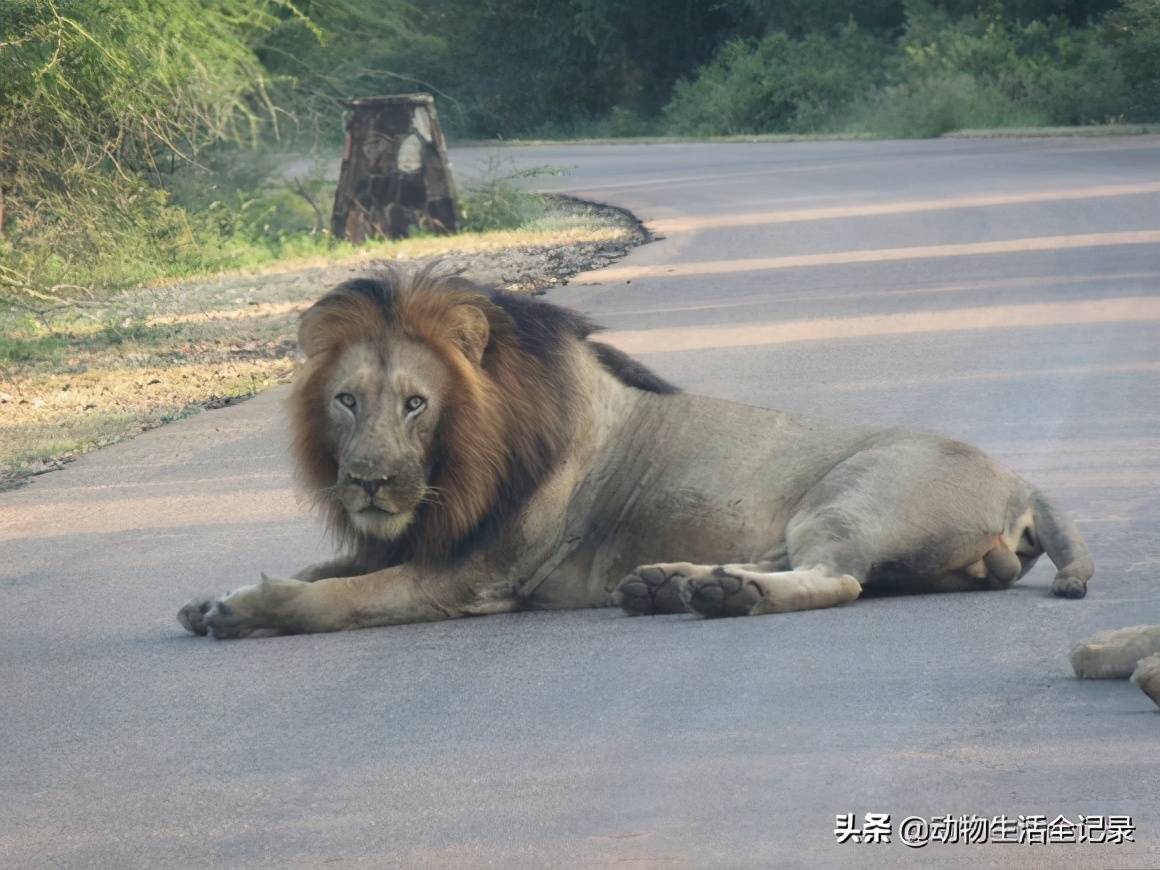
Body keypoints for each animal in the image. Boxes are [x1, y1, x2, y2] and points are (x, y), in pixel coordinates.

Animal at [176, 269, 1090, 644]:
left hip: (853, 495)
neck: (452, 477)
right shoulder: (416, 538)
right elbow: (326, 568)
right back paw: (674, 586)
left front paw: (248, 609)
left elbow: (339, 596)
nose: (367, 482)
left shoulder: (470, 575)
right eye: (345, 401)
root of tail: (1022, 480)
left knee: (837, 578)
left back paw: (718, 597)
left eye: (415, 404)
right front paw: (211, 597)